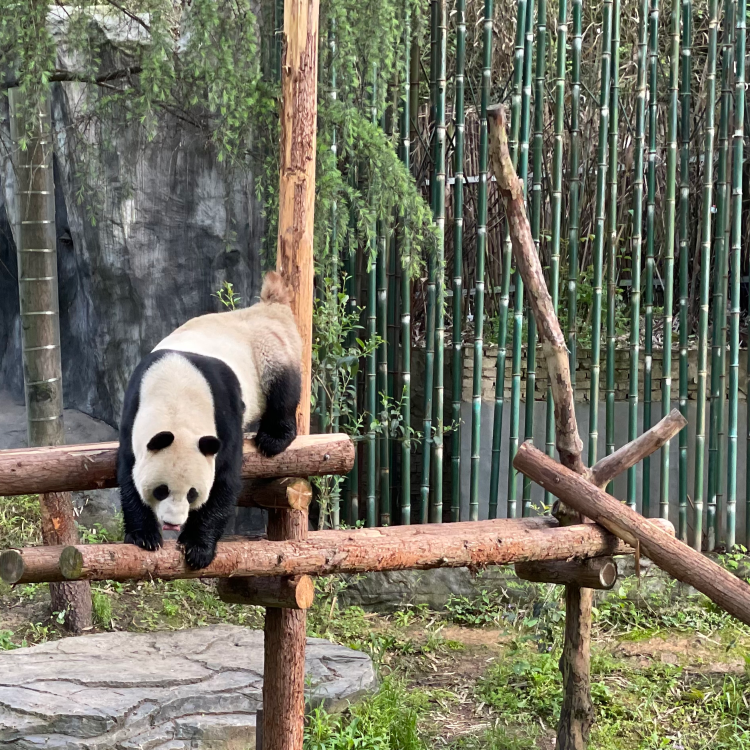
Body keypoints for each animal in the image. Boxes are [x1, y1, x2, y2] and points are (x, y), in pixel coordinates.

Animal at [117, 272, 302, 568]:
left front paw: (198, 548)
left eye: (192, 493)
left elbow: (224, 478)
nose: (172, 523)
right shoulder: (133, 410)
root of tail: (268, 307)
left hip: (272, 349)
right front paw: (145, 536)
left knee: (283, 391)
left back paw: (273, 439)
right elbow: (128, 472)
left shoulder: (223, 411)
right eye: (161, 490)